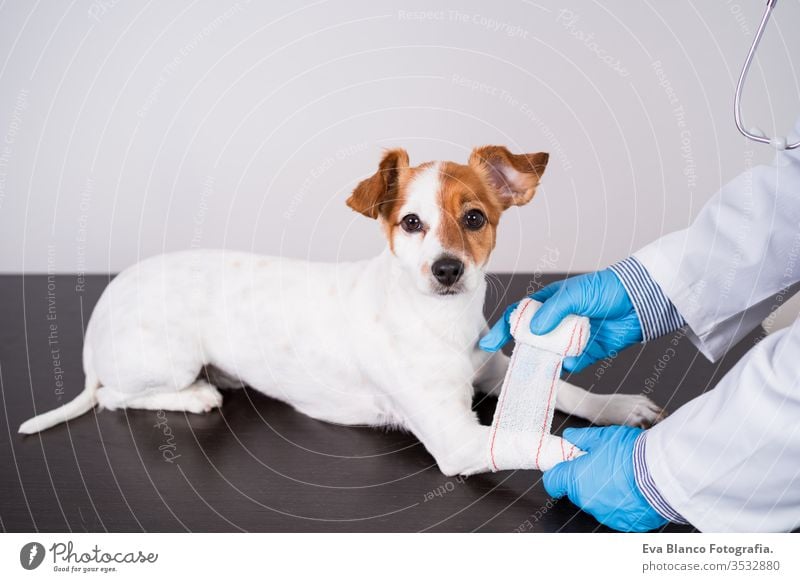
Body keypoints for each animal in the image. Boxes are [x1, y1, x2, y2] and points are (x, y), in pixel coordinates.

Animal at [20, 147, 664, 480]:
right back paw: (197, 396)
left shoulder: (494, 369)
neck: (439, 324)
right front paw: (609, 460)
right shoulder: (457, 439)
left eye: (475, 218)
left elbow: (571, 393)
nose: (447, 270)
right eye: (411, 222)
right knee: (114, 397)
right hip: (169, 359)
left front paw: (618, 407)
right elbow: (543, 442)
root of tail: (97, 322)